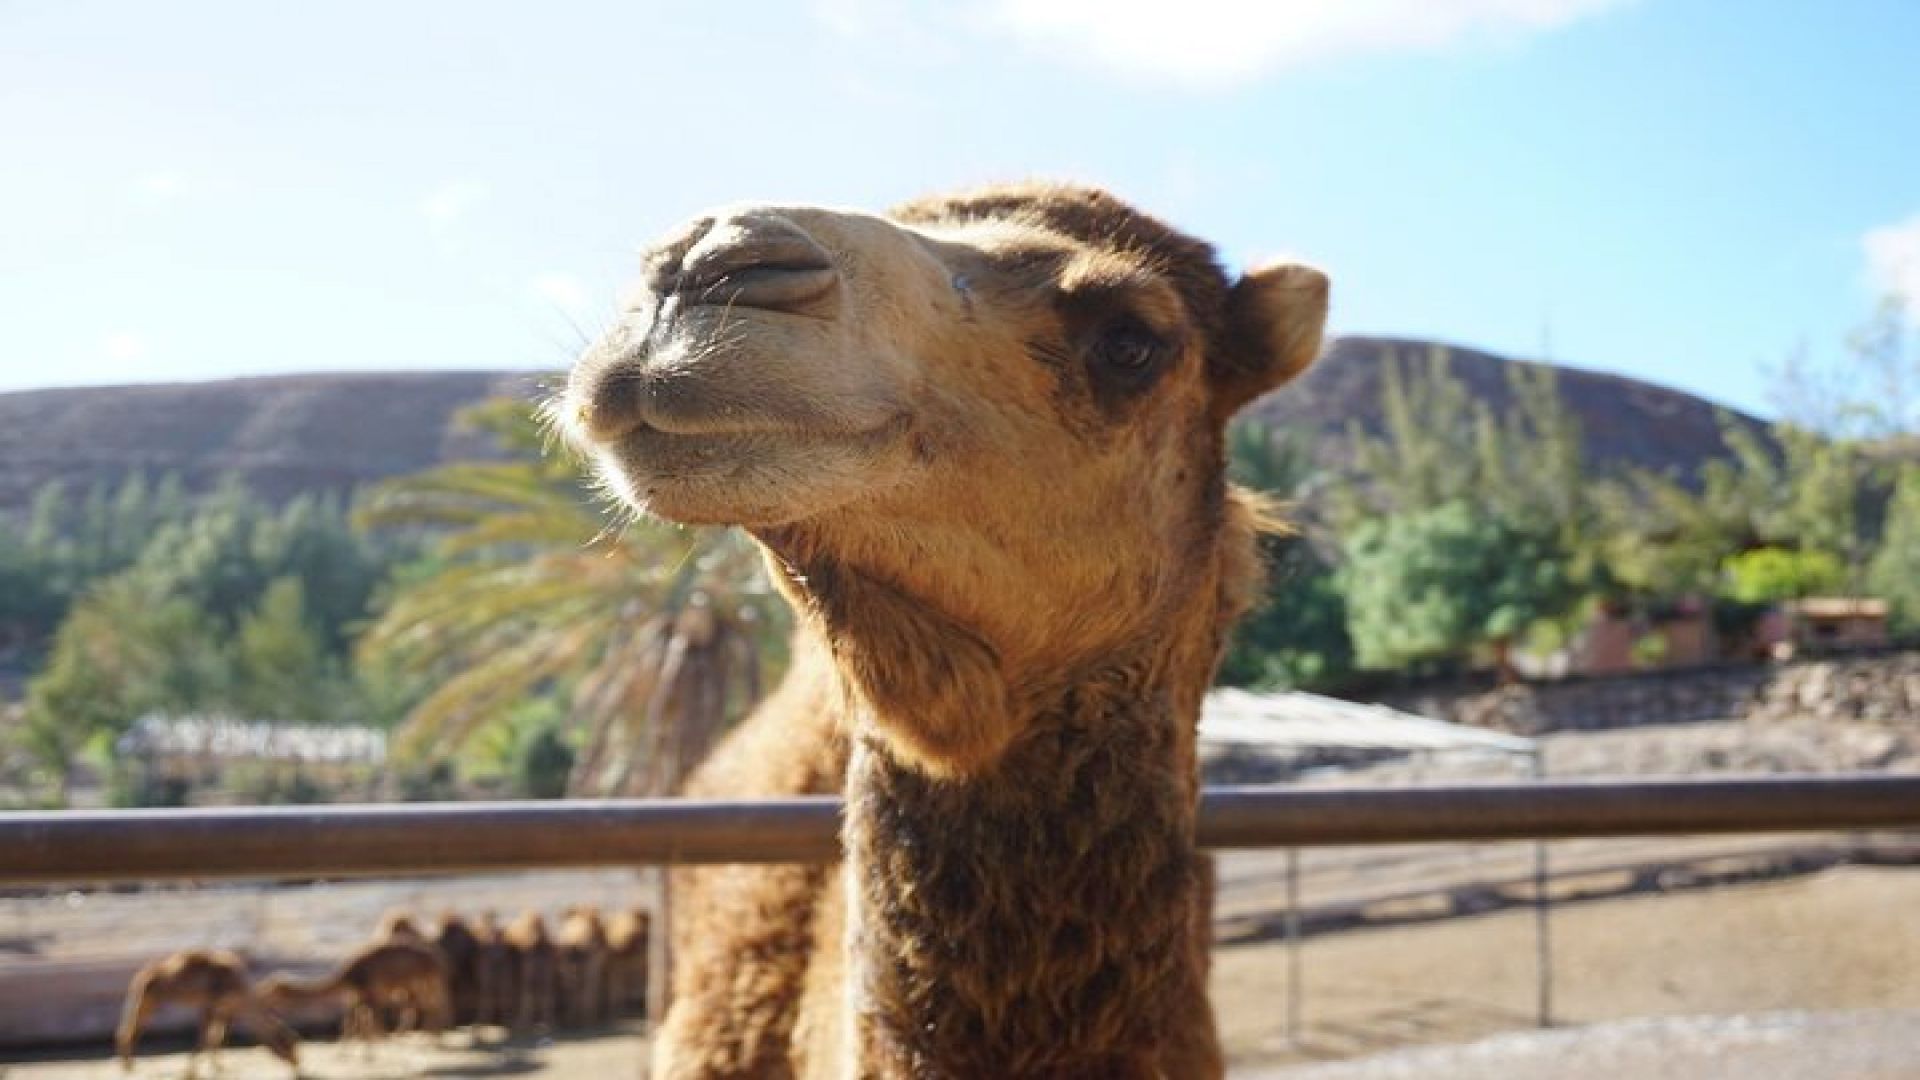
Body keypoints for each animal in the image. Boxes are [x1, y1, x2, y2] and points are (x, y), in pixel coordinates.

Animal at [116, 949, 299, 1077]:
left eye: (293, 1044)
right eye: (286, 1044)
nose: (296, 1063)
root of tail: (142, 975)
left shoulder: (224, 1010)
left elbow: (216, 1038)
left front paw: (218, 1067)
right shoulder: (209, 1006)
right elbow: (204, 1039)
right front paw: (189, 1073)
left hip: (149, 1002)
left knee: (133, 1030)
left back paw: (129, 1065)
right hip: (147, 1001)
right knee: (127, 1031)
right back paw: (127, 1067)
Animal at [259, 941, 451, 1050]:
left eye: (271, 990)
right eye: (266, 988)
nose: (260, 994)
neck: (349, 976)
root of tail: (436, 960)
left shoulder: (371, 993)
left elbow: (370, 1022)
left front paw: (376, 1046)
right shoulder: (358, 996)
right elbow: (353, 1021)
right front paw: (347, 1051)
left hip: (423, 982)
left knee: (431, 1006)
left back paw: (434, 1039)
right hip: (410, 985)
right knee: (416, 1007)